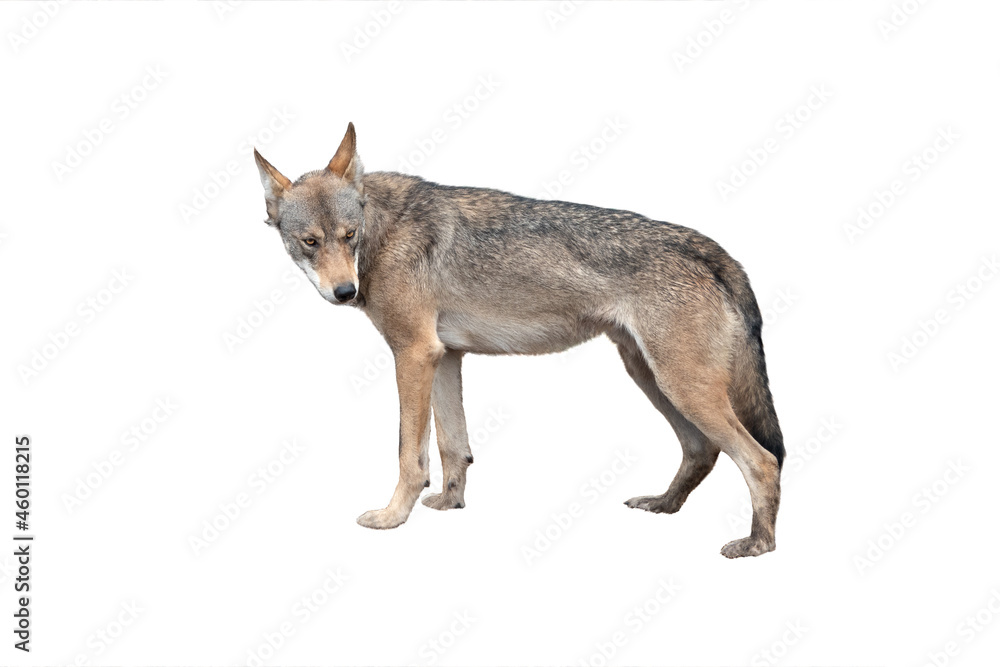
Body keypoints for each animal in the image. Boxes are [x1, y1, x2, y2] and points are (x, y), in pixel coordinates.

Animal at [253, 123, 785, 558]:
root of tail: (714, 251)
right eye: (310, 242)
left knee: (761, 461)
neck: (382, 229)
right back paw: (663, 505)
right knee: (702, 451)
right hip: (652, 378)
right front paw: (450, 502)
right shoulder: (444, 357)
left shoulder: (413, 354)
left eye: (349, 235)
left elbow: (410, 454)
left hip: (680, 386)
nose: (345, 292)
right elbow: (452, 447)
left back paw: (757, 545)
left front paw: (391, 518)